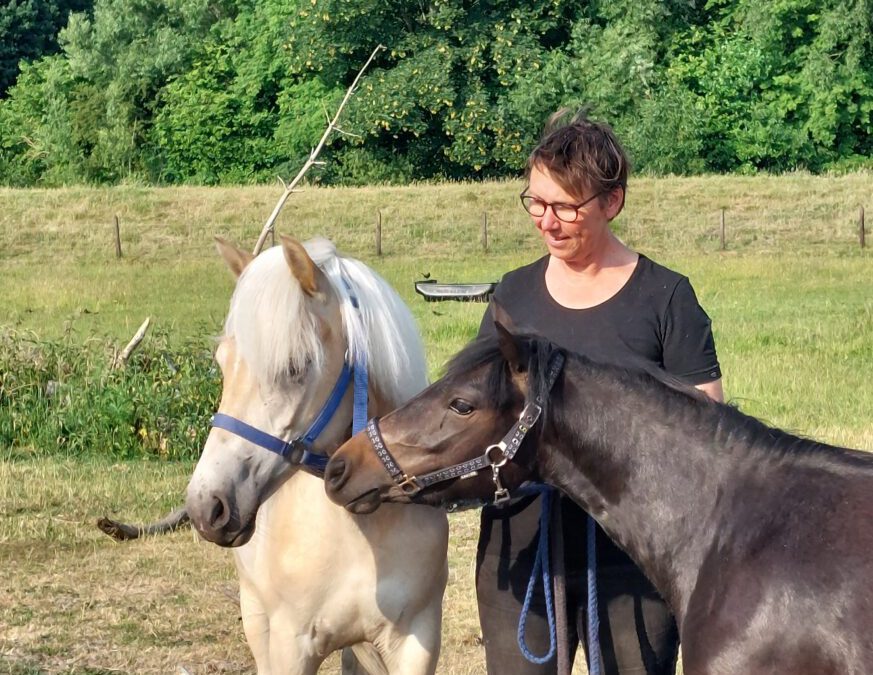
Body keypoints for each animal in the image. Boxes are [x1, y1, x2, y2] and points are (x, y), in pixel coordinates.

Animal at [186, 238, 446, 675]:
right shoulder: (291, 644)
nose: (207, 506)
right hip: (256, 616)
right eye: (222, 364)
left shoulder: (417, 640)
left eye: (296, 366)